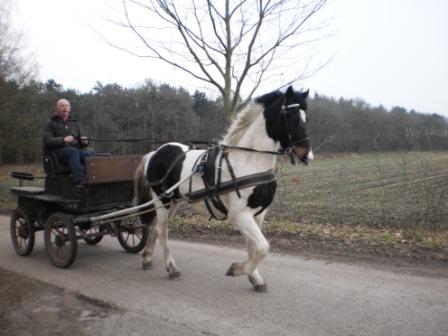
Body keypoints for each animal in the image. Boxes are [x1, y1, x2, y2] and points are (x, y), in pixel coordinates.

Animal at [135, 86, 314, 292]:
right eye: (292, 117)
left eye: (306, 118)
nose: (307, 156)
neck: (249, 161)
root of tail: (155, 152)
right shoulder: (240, 215)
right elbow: (262, 247)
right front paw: (238, 269)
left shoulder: (258, 214)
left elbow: (254, 248)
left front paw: (255, 278)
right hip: (162, 200)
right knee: (162, 231)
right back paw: (172, 269)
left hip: (173, 202)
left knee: (155, 228)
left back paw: (147, 259)